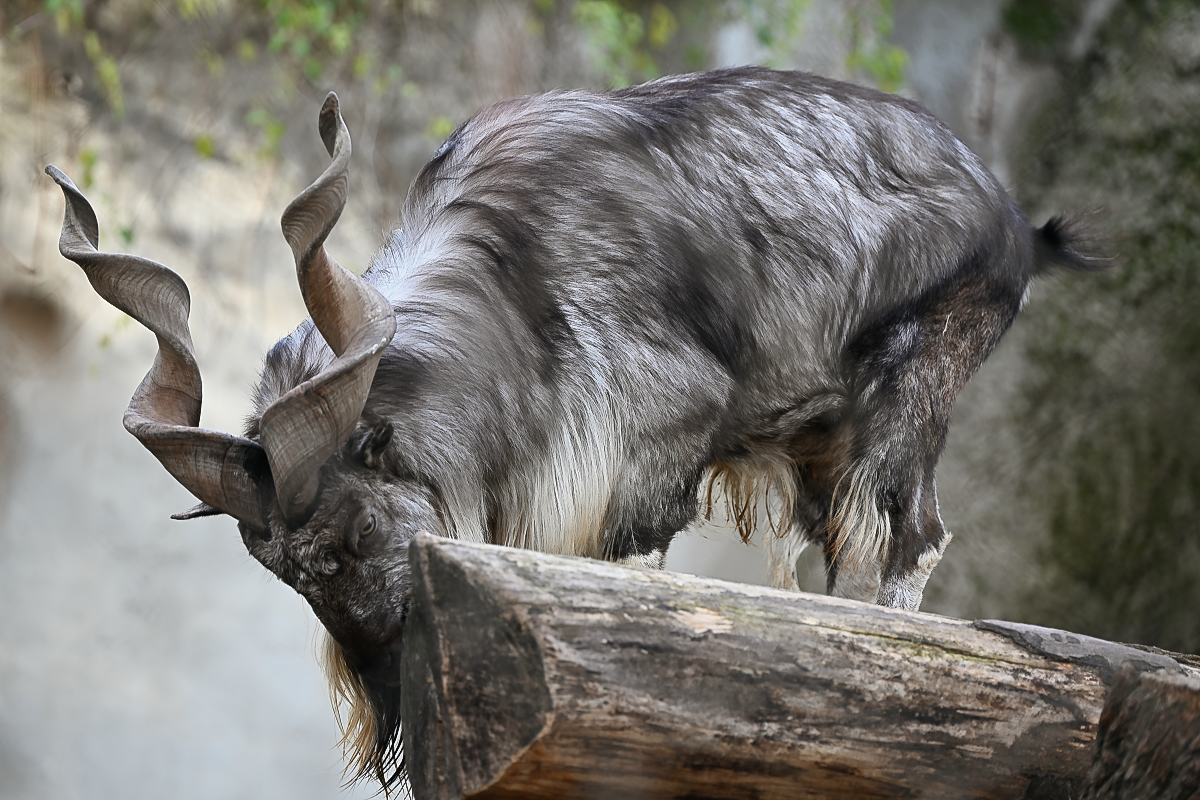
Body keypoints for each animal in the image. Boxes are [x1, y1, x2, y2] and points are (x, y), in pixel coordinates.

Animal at [47, 66, 1100, 790]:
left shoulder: (654, 459)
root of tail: (1016, 224)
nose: (392, 693)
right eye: (285, 573)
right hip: (818, 443)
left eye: (357, 534)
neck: (519, 290)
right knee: (849, 546)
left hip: (909, 391)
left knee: (912, 538)